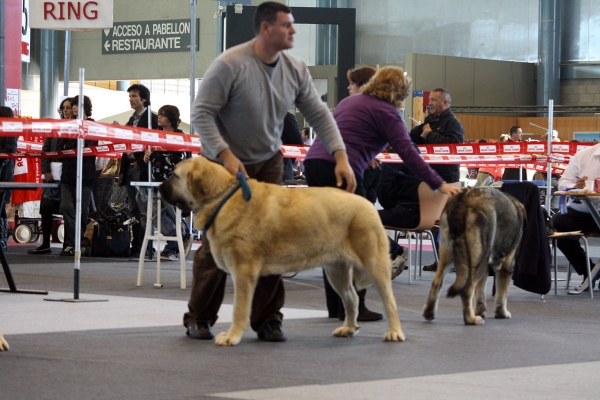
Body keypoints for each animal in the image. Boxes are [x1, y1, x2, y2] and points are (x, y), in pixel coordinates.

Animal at [159, 158, 404, 346]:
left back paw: (394, 332)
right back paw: (349, 328)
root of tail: (369, 204)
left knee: (390, 300)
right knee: (351, 296)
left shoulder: (243, 272)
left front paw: (232, 336)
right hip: (337, 270)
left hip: (373, 263)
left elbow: (239, 309)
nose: (159, 187)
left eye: (175, 176)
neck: (221, 197)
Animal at [422, 188, 524, 324]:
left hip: (447, 253)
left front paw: (480, 311)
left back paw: (429, 313)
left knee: (436, 282)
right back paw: (471, 319)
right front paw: (501, 313)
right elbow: (502, 293)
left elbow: (480, 292)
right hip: (480, 258)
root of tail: (463, 200)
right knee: (467, 290)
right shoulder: (507, 266)